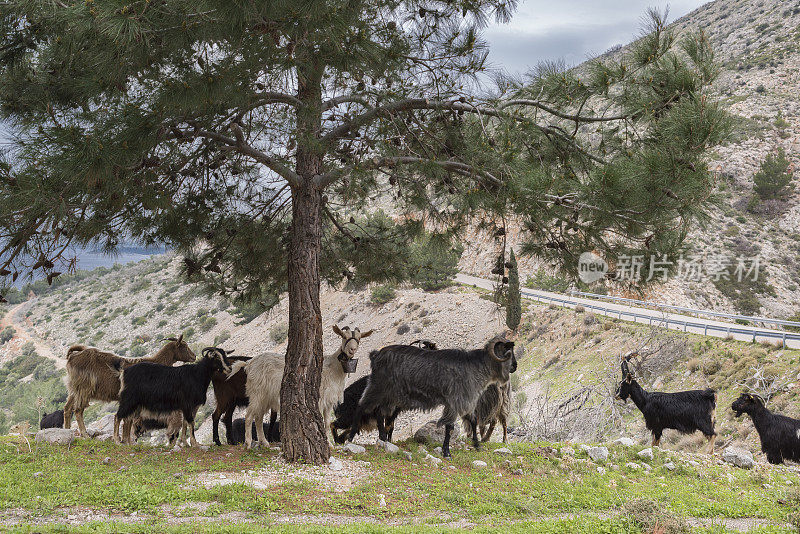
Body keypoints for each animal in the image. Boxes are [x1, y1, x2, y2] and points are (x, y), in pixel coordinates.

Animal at [61, 338, 195, 442]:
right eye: (184, 346)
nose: (194, 356)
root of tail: (72, 357)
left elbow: (128, 420)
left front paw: (126, 440)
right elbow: (128, 420)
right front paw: (125, 440)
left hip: (74, 389)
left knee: (67, 408)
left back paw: (67, 431)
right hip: (84, 388)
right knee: (78, 410)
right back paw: (85, 435)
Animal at [228, 326, 372, 448]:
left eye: (359, 338)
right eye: (344, 336)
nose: (352, 350)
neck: (333, 368)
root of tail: (249, 364)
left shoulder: (329, 401)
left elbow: (326, 422)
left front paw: (330, 445)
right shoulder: (319, 399)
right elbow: (320, 421)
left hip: (265, 397)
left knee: (258, 418)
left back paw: (264, 442)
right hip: (256, 393)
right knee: (249, 416)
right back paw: (248, 443)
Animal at [350, 338, 520, 458]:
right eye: (508, 352)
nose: (515, 367)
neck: (476, 366)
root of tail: (375, 355)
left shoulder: (466, 402)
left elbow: (472, 421)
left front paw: (477, 445)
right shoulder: (455, 401)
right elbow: (450, 427)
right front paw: (447, 452)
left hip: (389, 395)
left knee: (379, 413)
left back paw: (383, 439)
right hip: (378, 387)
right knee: (361, 407)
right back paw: (350, 439)